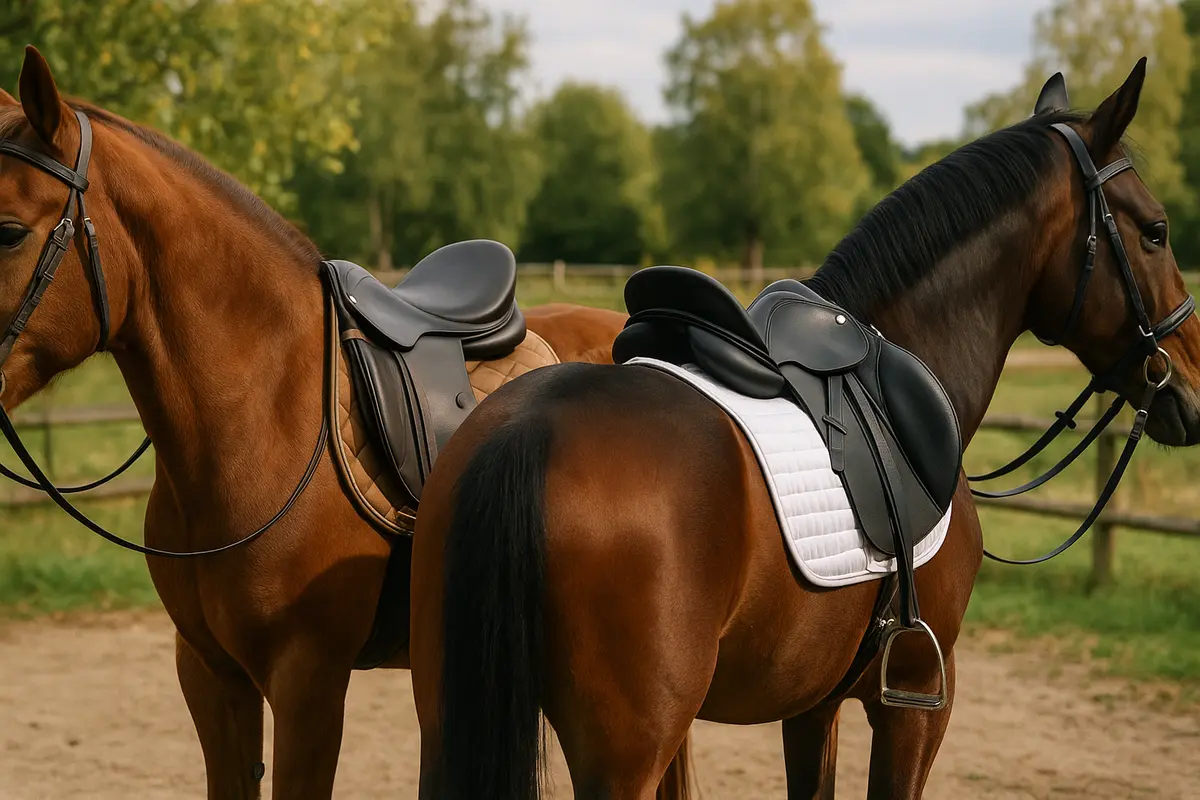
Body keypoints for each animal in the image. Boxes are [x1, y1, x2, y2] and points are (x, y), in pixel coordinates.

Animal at [408, 60, 1200, 798]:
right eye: (1157, 232)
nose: (1189, 384)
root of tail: (526, 434)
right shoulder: (916, 701)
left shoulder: (813, 706)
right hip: (625, 756)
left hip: (447, 723)